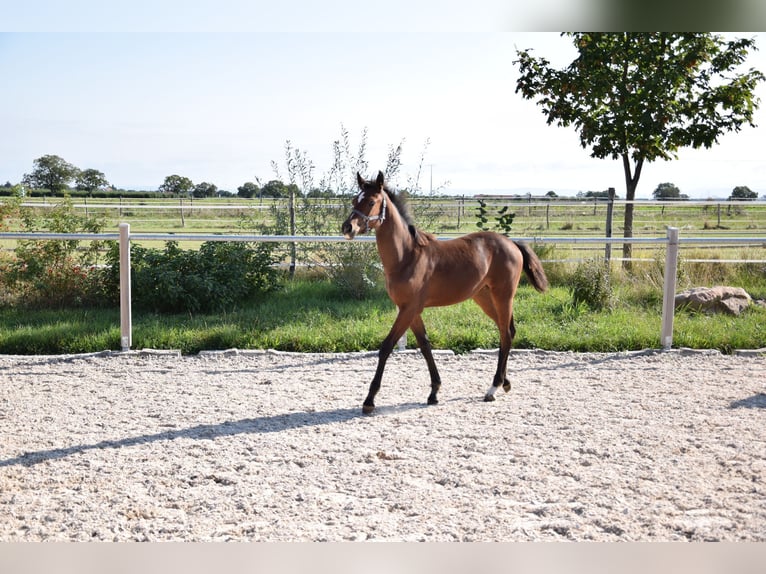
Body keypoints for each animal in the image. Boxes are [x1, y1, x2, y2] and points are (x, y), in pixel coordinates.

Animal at [344, 169, 552, 416]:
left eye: (371, 201)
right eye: (354, 200)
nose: (347, 228)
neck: (407, 256)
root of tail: (512, 244)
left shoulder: (407, 309)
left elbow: (386, 346)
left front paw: (369, 400)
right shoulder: (412, 311)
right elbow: (425, 345)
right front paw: (434, 392)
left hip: (503, 295)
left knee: (506, 333)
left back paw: (493, 388)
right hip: (484, 297)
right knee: (507, 331)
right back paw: (505, 383)